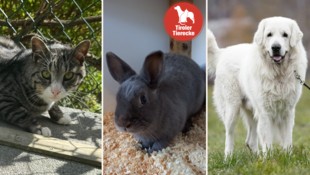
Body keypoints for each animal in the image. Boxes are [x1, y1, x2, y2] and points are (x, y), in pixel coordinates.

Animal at [208, 17, 308, 158]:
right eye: (269, 35)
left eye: (285, 35)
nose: (275, 47)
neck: (278, 74)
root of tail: (223, 52)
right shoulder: (265, 112)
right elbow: (267, 141)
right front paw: (270, 159)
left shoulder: (288, 111)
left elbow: (287, 139)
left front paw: (287, 157)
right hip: (232, 107)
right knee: (229, 134)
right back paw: (228, 157)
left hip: (252, 110)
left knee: (250, 140)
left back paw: (257, 158)